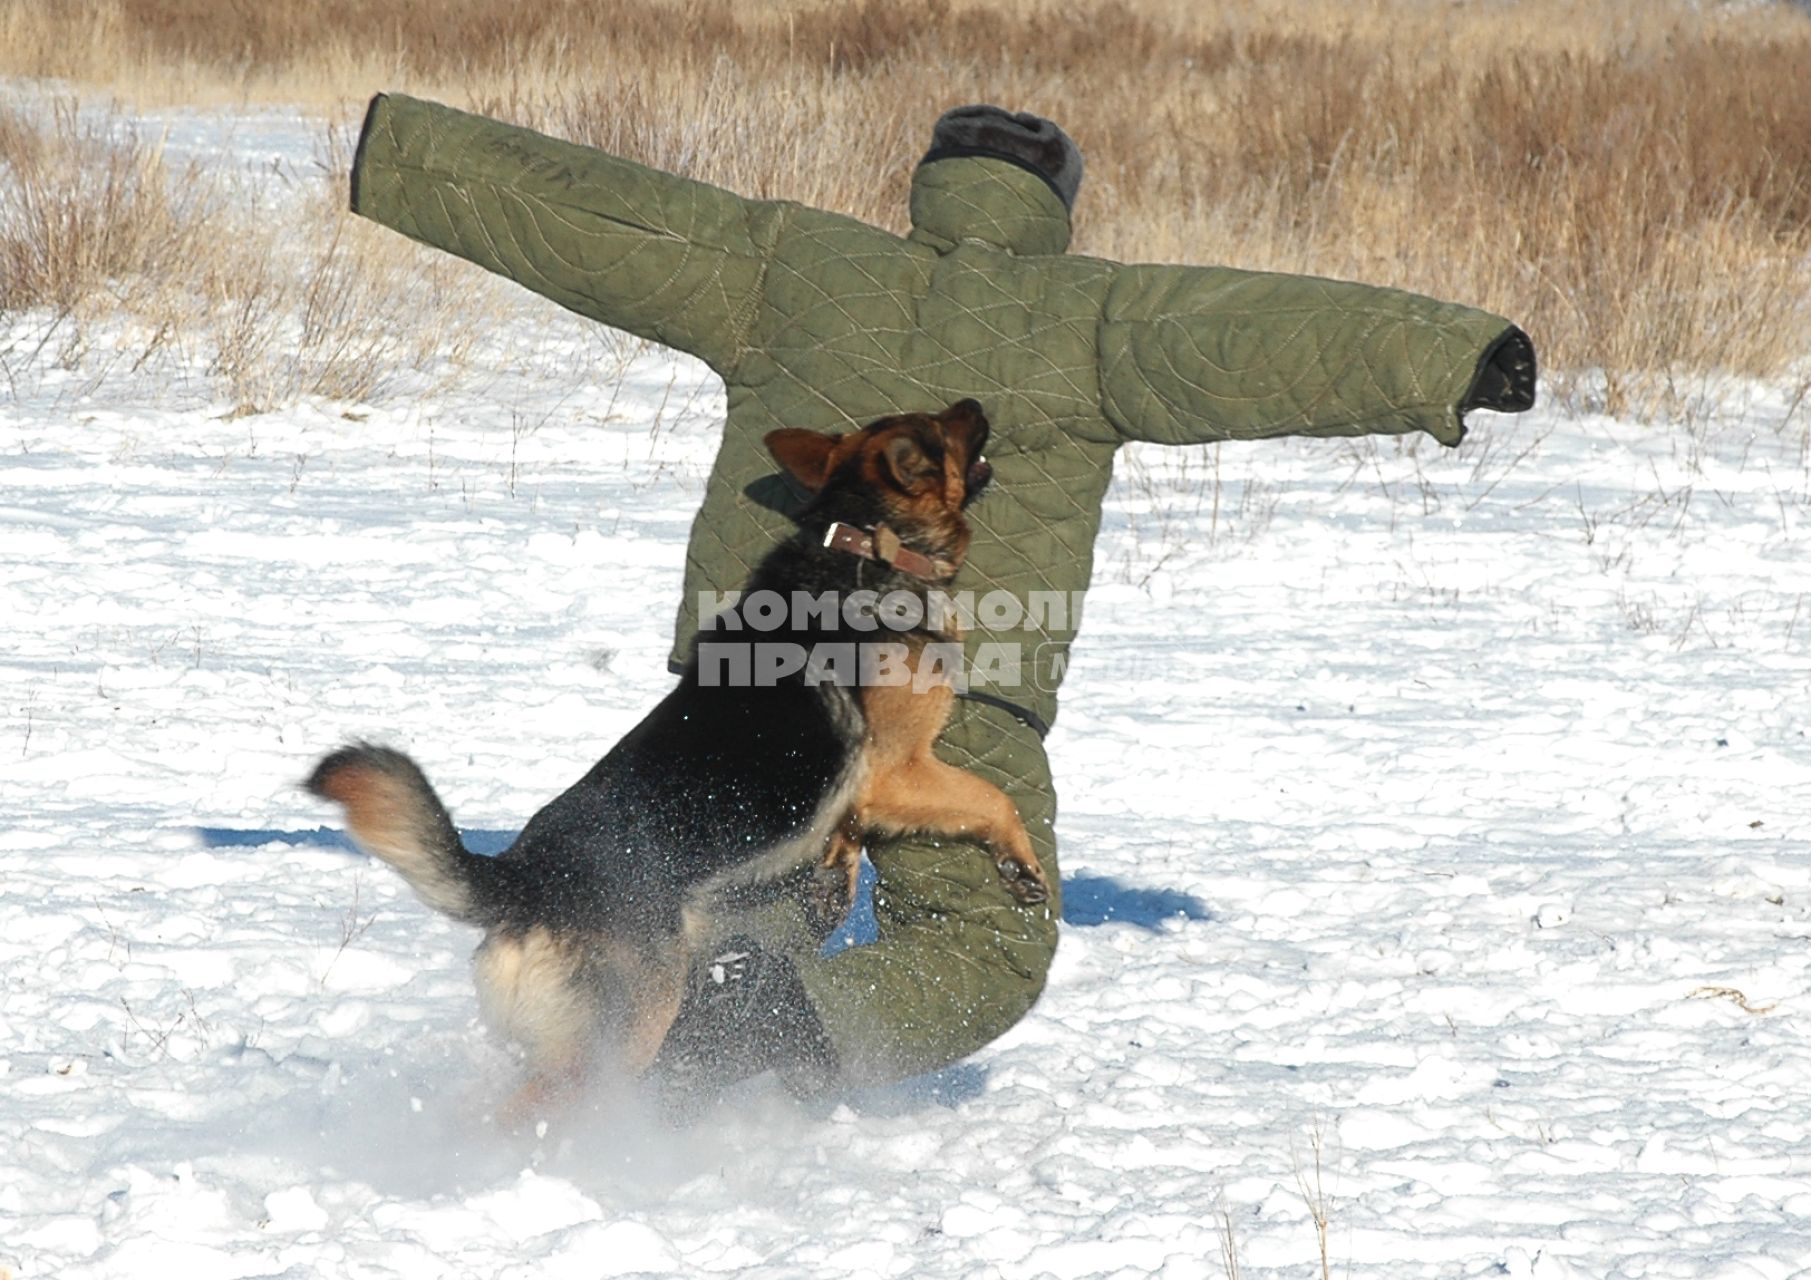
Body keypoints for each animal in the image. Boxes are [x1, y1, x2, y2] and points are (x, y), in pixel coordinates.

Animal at [307, 394, 1050, 1115]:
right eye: (942, 429)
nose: (975, 399)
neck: (864, 537)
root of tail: (526, 884)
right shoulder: (897, 769)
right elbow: (990, 798)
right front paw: (1021, 866)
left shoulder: (862, 791)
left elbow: (847, 837)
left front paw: (833, 880)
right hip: (622, 1034)